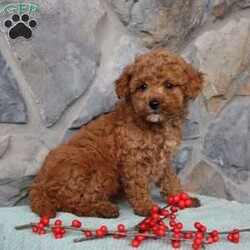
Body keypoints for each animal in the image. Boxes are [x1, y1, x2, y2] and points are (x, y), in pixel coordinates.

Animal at [30, 48, 204, 217]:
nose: (153, 103)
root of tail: (39, 182)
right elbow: (139, 186)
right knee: (73, 203)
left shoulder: (165, 159)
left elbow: (170, 180)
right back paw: (102, 209)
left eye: (169, 85)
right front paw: (147, 207)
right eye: (143, 86)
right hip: (102, 172)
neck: (156, 126)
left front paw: (182, 198)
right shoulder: (133, 160)